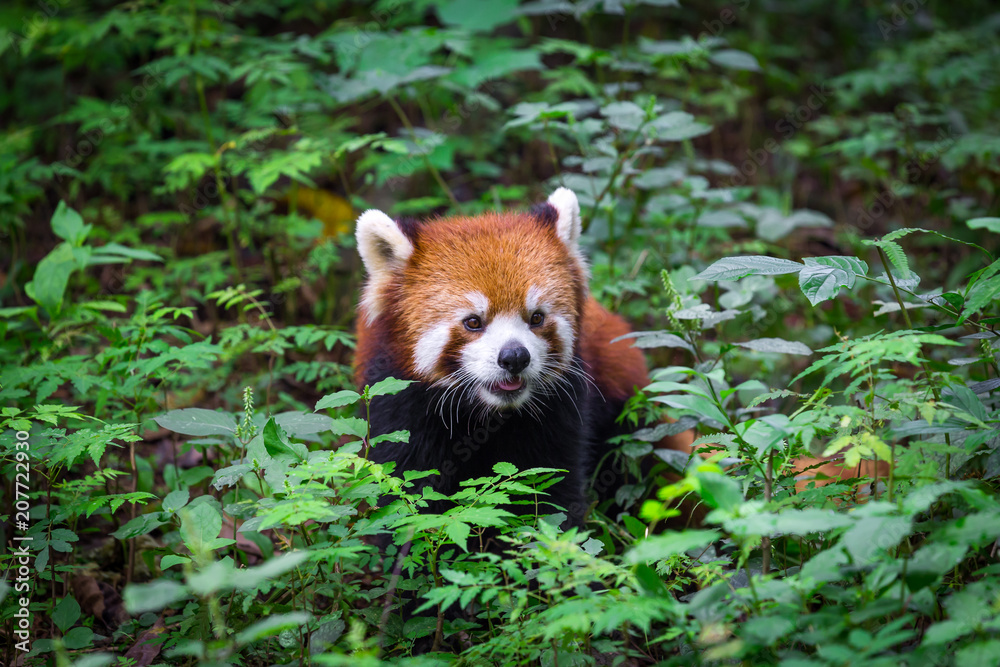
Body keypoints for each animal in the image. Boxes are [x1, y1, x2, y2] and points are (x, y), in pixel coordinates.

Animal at [352, 188, 695, 525]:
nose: (515, 357)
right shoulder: (398, 407)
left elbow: (553, 495)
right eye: (473, 322)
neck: (487, 417)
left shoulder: (561, 412)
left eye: (536, 317)